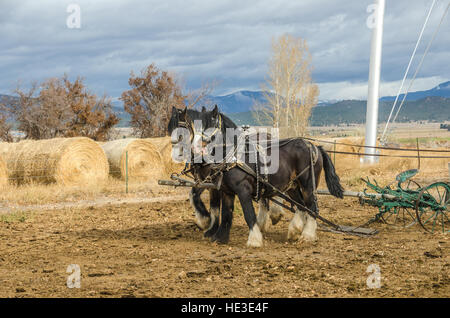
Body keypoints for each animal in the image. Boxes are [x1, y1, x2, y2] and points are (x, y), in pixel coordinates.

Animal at [180, 105, 344, 247]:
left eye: (210, 125)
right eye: (194, 126)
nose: (194, 148)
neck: (234, 156)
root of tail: (314, 146)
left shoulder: (242, 189)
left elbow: (248, 214)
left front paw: (254, 240)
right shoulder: (226, 191)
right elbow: (226, 214)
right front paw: (219, 238)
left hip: (308, 184)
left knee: (312, 207)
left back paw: (307, 235)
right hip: (292, 186)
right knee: (301, 205)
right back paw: (294, 231)